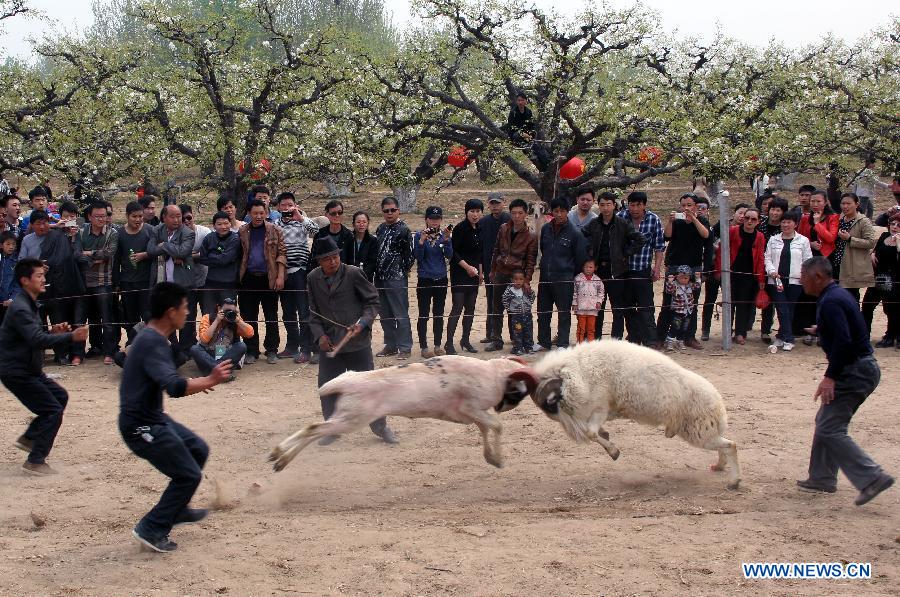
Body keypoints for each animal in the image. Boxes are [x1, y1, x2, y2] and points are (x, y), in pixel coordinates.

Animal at [268, 356, 536, 472]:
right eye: (520, 391)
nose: (505, 406)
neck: (494, 373)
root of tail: (347, 380)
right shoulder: (472, 408)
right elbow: (497, 426)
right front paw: (499, 460)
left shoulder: (473, 414)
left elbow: (485, 429)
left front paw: (492, 458)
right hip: (353, 418)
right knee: (313, 429)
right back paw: (278, 455)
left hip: (345, 417)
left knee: (313, 431)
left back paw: (279, 460)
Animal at [510, 340, 740, 488]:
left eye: (552, 401)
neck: (578, 370)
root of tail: (719, 407)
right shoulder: (600, 411)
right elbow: (594, 433)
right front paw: (610, 445)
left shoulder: (599, 407)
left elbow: (591, 433)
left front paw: (613, 451)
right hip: (699, 432)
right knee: (725, 445)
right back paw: (719, 467)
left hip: (699, 433)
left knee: (731, 445)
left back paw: (734, 482)